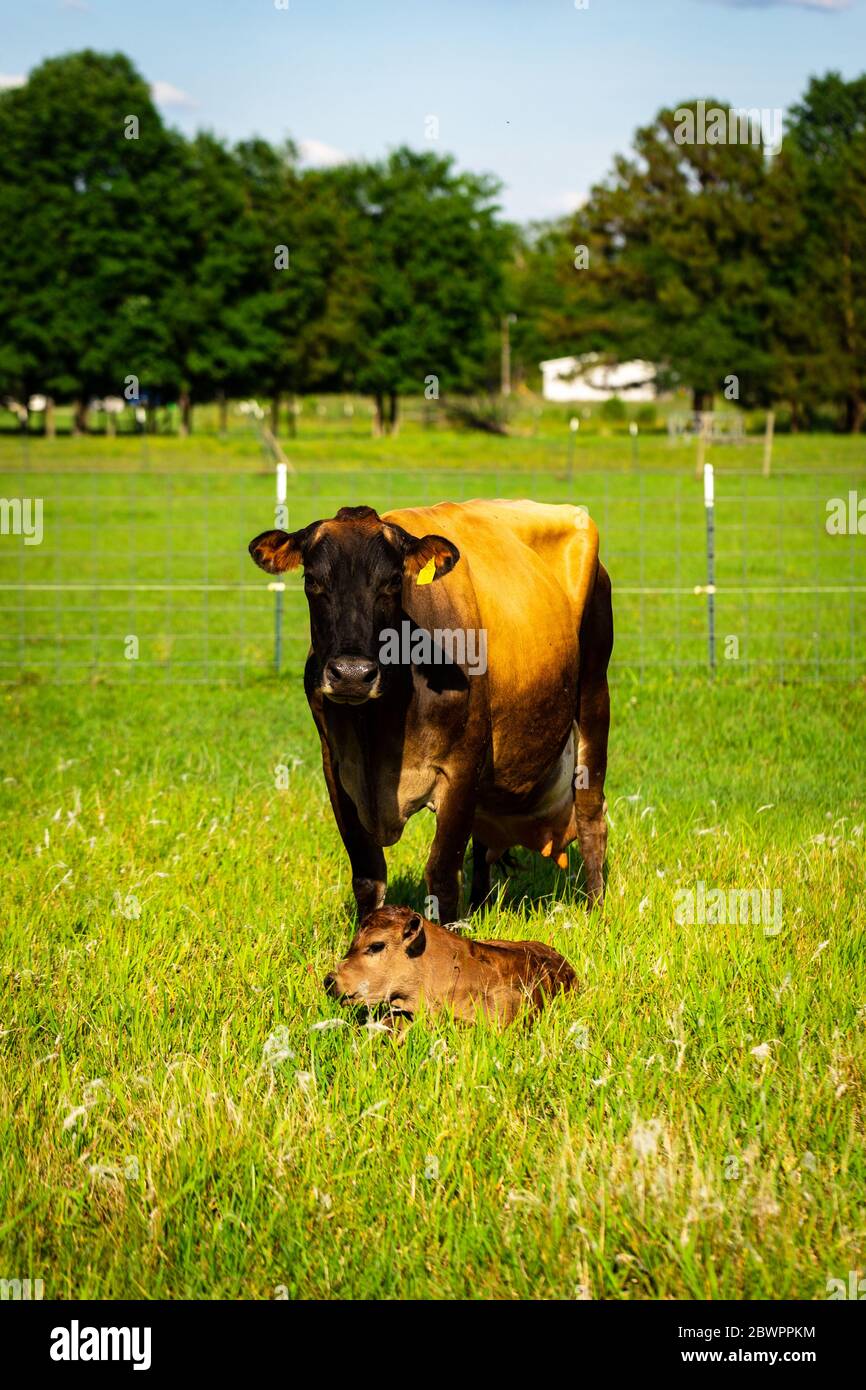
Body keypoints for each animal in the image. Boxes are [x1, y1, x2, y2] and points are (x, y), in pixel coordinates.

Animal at [249, 498, 613, 925]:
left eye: (393, 582)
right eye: (312, 581)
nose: (351, 674)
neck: (379, 728)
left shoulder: (462, 767)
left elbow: (441, 876)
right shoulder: (337, 769)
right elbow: (368, 876)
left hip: (594, 693)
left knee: (590, 812)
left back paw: (595, 906)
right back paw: (480, 904)